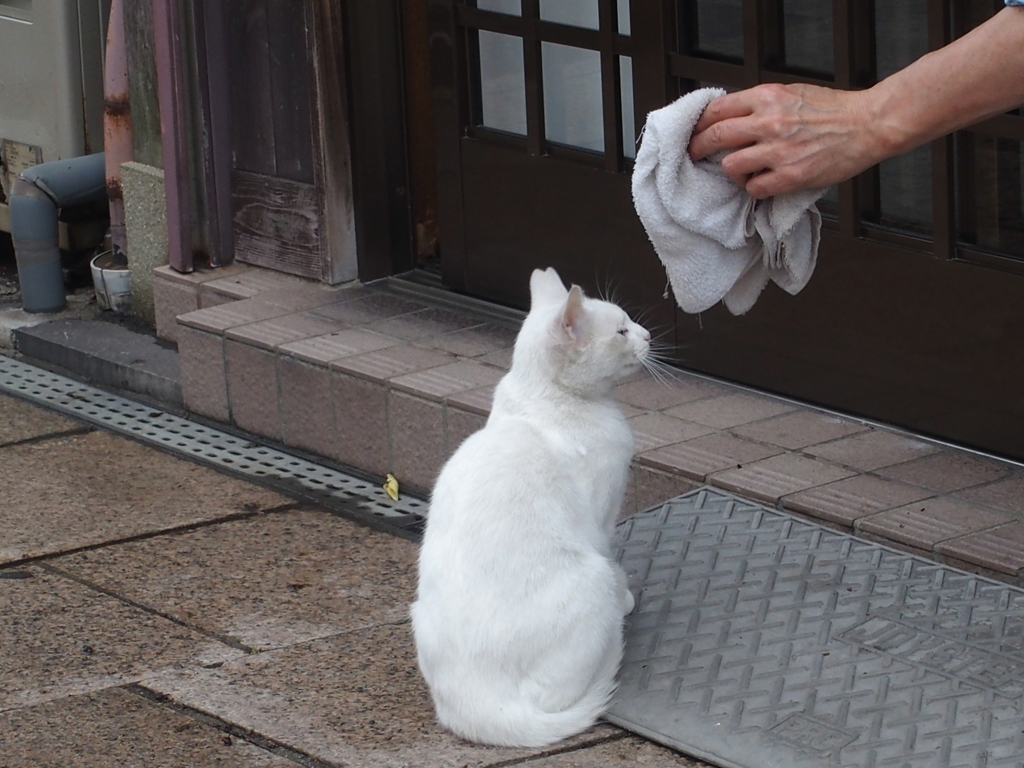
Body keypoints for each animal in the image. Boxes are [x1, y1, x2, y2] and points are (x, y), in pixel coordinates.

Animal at [407, 268, 647, 749]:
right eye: (621, 331)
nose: (648, 335)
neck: (543, 403)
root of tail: (477, 702)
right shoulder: (602, 518)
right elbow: (612, 554)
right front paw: (626, 594)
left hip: (416, 614)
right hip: (589, 579)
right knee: (557, 694)